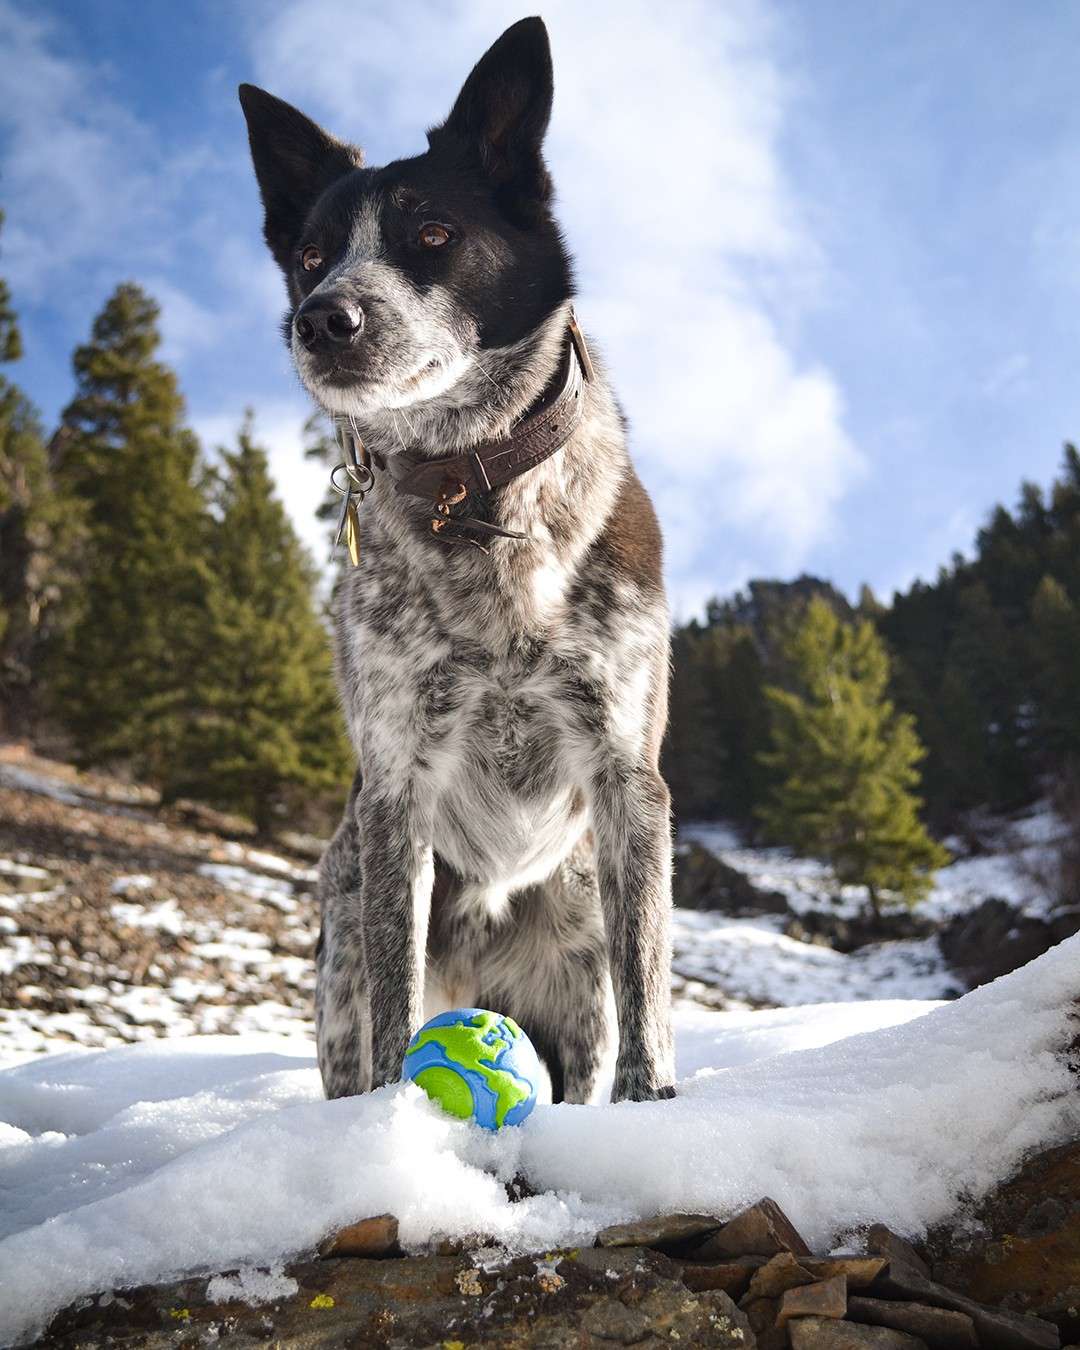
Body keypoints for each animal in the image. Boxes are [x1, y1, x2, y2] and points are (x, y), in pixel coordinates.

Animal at [243, 15, 675, 1101]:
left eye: (433, 235)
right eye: (311, 255)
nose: (323, 318)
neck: (475, 498)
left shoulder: (627, 775)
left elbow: (648, 978)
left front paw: (658, 1109)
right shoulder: (397, 791)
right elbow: (395, 999)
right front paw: (395, 1124)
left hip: (574, 970)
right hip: (341, 930)